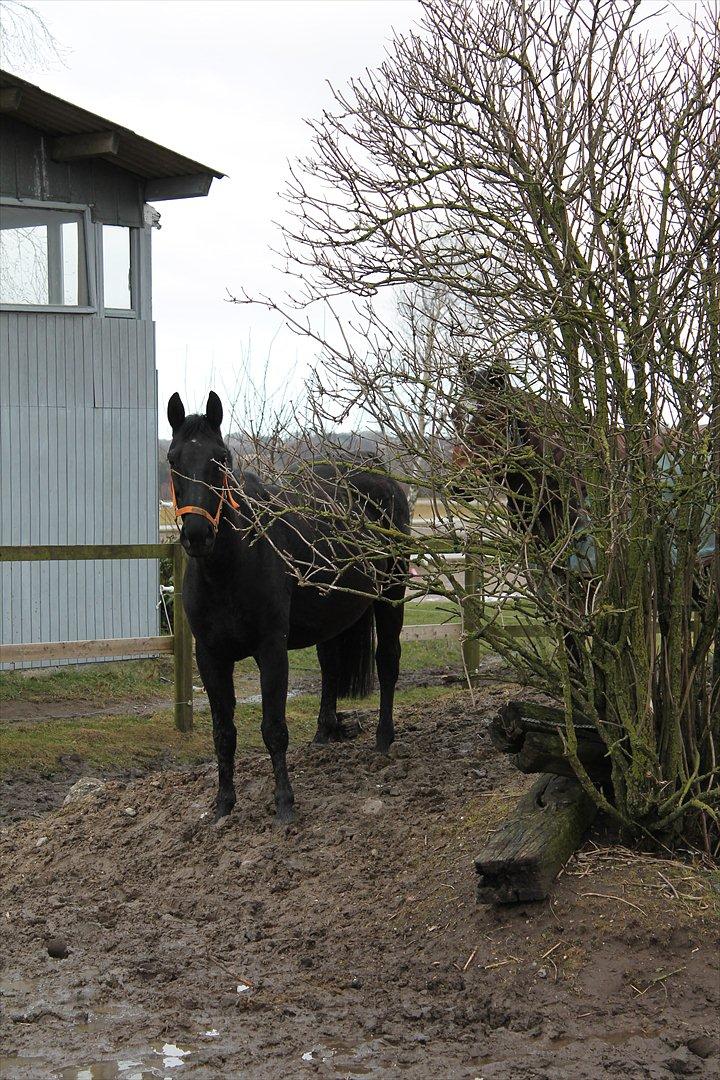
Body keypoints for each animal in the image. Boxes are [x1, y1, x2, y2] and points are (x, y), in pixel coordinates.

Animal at [165, 393, 408, 820]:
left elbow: (273, 729)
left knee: (388, 663)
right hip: (333, 615)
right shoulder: (210, 656)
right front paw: (223, 804)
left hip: (390, 597)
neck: (232, 566)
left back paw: (383, 740)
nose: (197, 535)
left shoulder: (271, 650)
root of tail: (380, 475)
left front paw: (284, 803)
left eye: (221, 458)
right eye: (173, 459)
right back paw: (324, 735)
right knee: (331, 667)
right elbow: (223, 732)